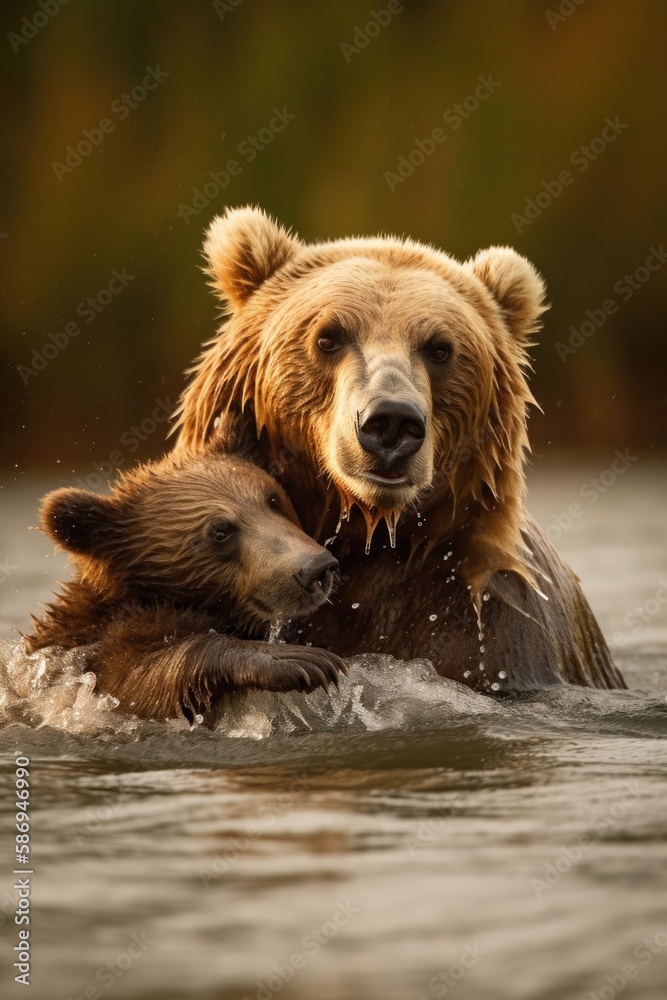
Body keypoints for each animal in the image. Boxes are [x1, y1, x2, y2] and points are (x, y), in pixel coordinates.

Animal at [24, 438, 347, 722]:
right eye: (220, 532)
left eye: (273, 499)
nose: (316, 568)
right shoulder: (88, 655)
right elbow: (130, 683)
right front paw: (300, 661)